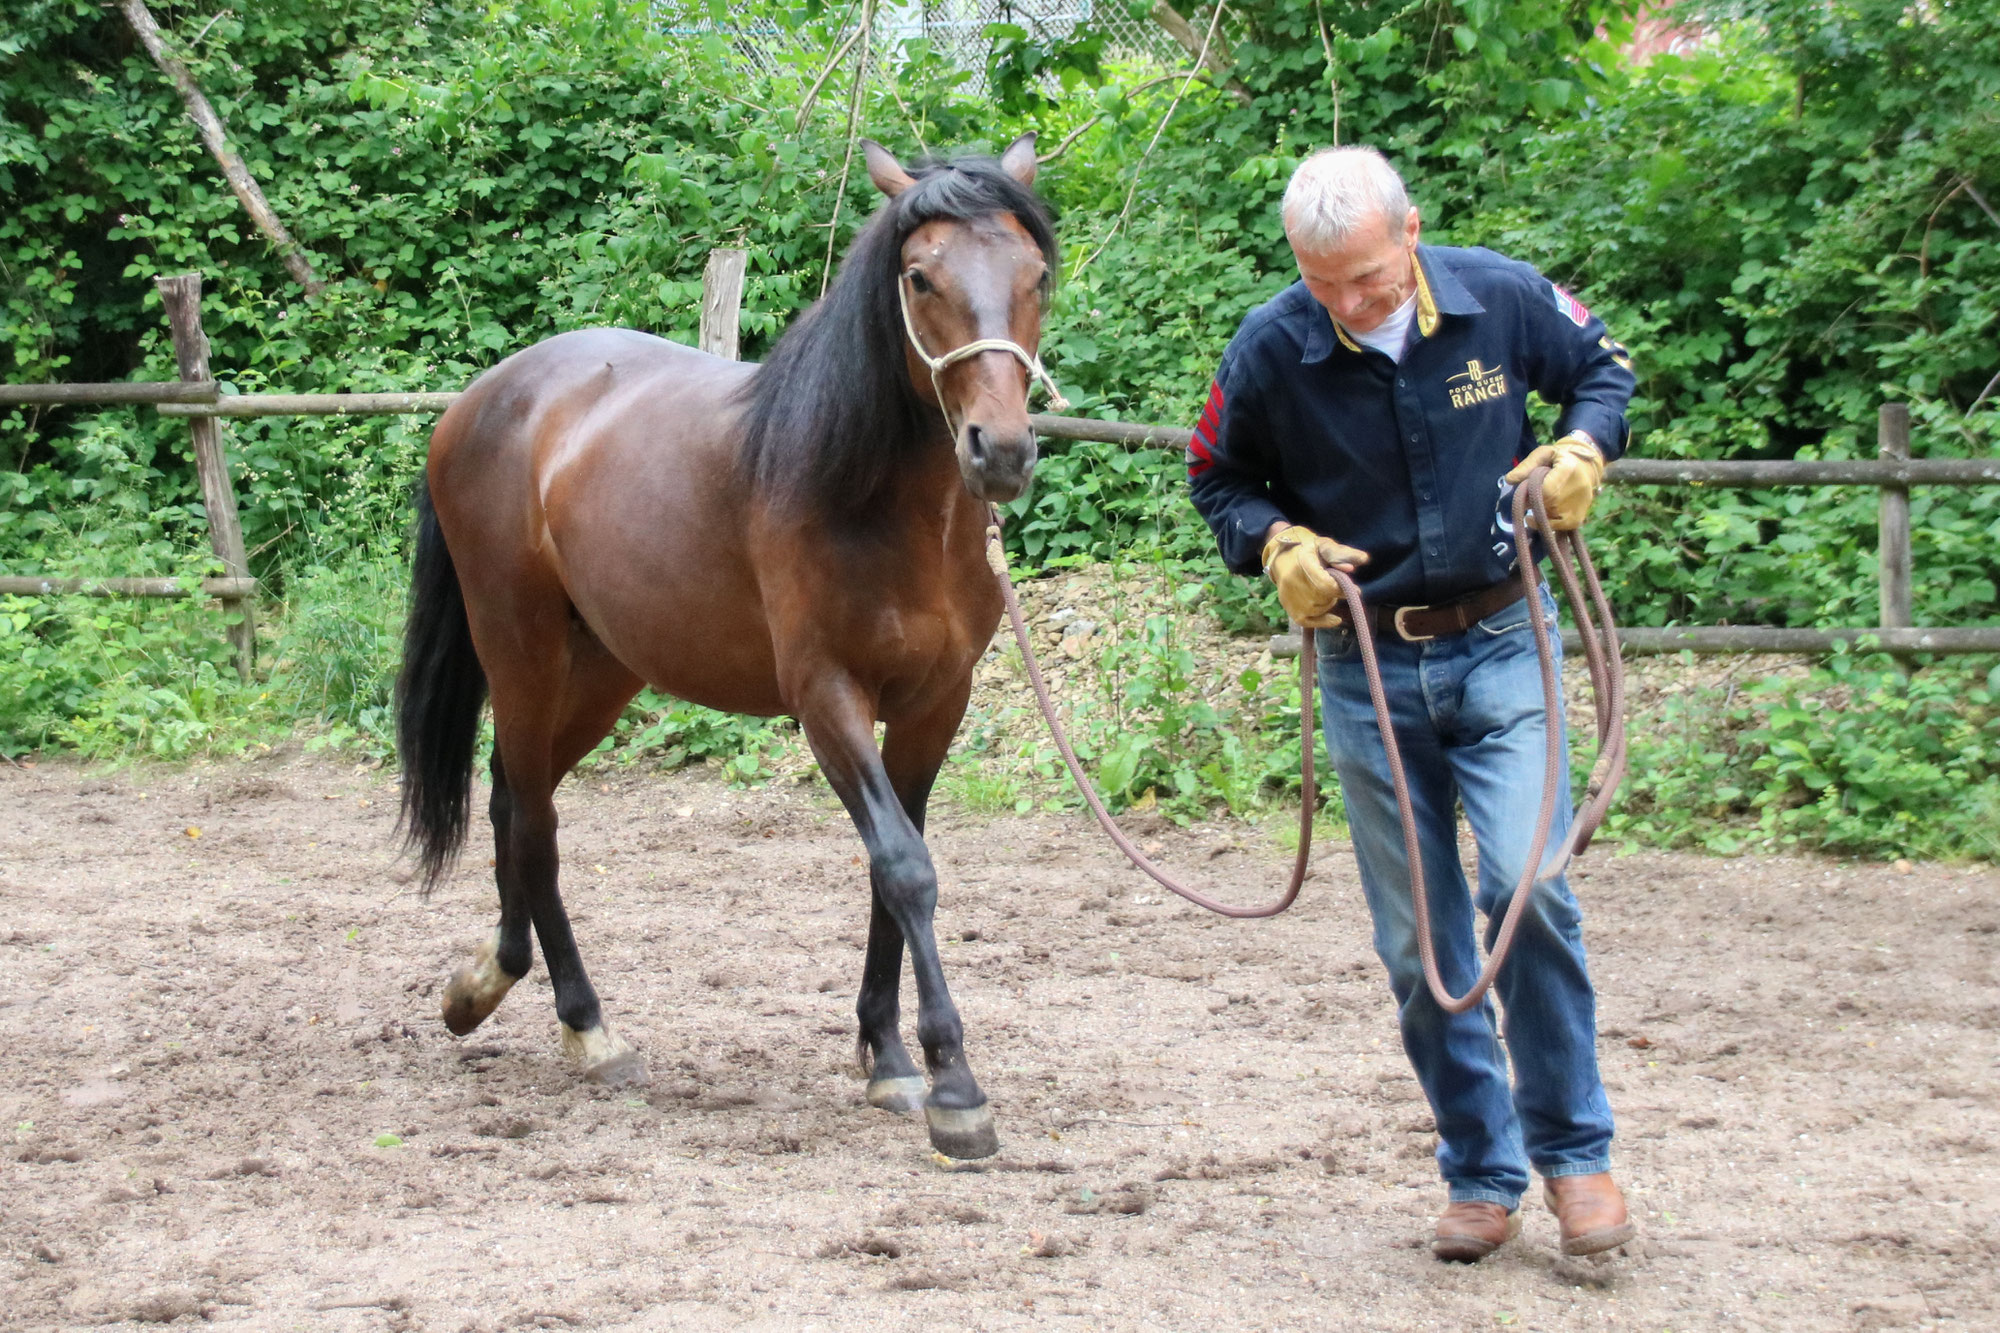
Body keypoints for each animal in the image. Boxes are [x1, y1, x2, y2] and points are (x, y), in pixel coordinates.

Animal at [386, 132, 1048, 1152]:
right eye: (920, 276)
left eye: (1036, 275)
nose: (1000, 450)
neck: (878, 501)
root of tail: (478, 400)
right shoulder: (827, 698)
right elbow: (904, 867)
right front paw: (953, 1083)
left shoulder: (937, 704)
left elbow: (895, 868)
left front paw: (889, 1057)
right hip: (520, 647)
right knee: (532, 818)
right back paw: (587, 1025)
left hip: (604, 668)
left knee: (509, 795)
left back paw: (488, 983)